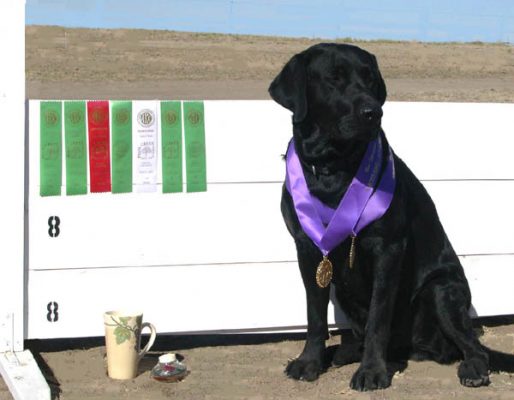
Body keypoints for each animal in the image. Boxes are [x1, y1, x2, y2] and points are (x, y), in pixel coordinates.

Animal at [270, 43, 502, 390]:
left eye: (370, 79)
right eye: (333, 78)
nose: (373, 112)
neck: (333, 167)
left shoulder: (388, 248)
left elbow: (378, 317)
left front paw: (371, 371)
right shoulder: (307, 248)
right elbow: (315, 314)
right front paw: (309, 361)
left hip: (441, 291)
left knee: (473, 346)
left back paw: (472, 369)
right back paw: (341, 352)